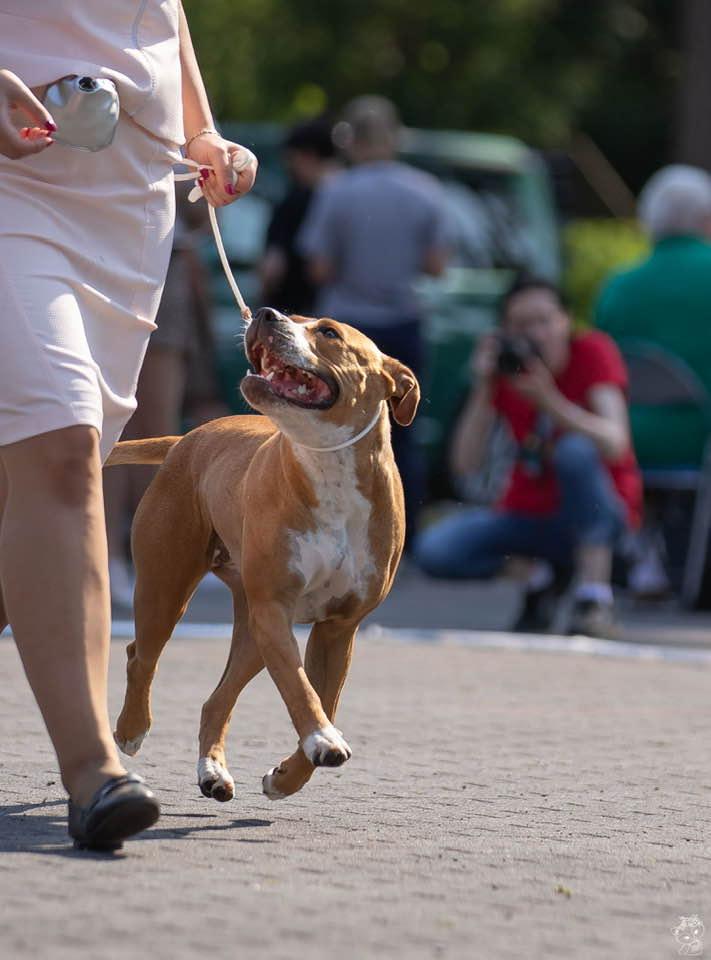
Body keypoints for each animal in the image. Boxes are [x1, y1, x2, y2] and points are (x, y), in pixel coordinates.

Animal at [110, 308, 420, 804]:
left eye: (328, 332)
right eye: (293, 317)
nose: (265, 313)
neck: (326, 467)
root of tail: (187, 438)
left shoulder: (338, 629)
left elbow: (323, 697)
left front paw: (290, 774)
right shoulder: (274, 608)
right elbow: (299, 688)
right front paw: (324, 740)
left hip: (250, 629)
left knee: (217, 699)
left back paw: (213, 773)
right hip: (167, 587)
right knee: (141, 654)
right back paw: (131, 729)